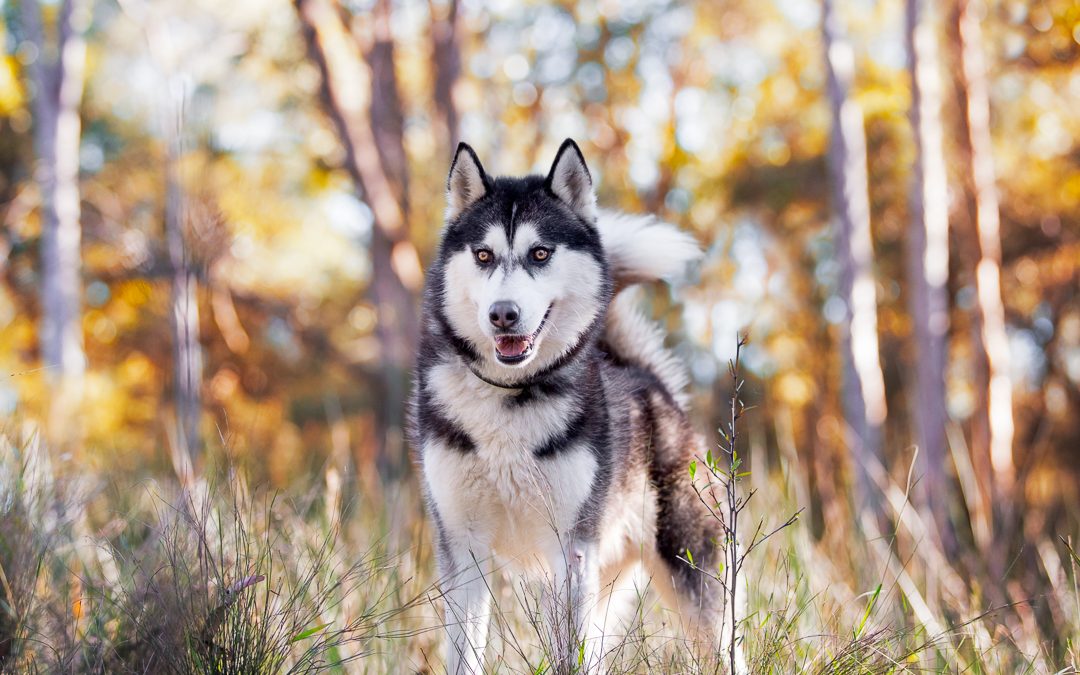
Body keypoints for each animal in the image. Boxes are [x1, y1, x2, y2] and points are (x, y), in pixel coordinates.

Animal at [410, 139, 734, 669]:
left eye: (540, 252)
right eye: (483, 254)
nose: (503, 314)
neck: (510, 398)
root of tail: (649, 380)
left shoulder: (571, 551)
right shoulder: (463, 548)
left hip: (694, 584)